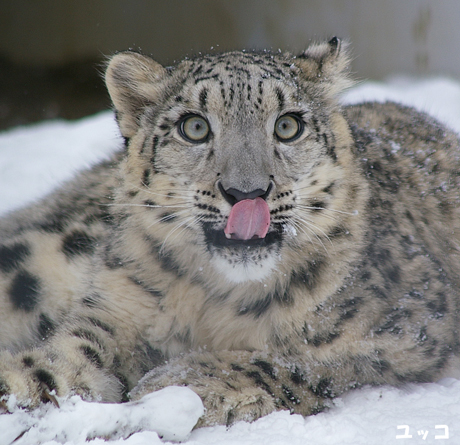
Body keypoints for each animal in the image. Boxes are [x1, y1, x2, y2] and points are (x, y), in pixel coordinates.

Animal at [0, 38, 460, 426]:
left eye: (288, 125)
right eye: (194, 127)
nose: (247, 192)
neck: (213, 299)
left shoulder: (407, 325)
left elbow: (300, 359)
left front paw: (178, 383)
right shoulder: (117, 311)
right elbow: (68, 356)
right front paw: (17, 385)